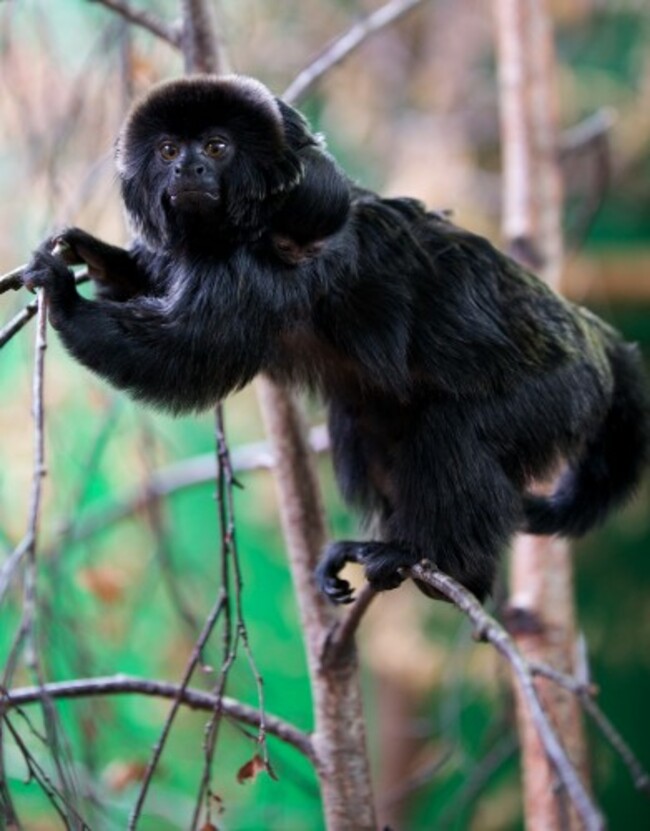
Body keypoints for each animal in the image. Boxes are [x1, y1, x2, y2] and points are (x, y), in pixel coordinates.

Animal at [21, 75, 648, 604]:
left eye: (217, 148)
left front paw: (66, 298)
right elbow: (155, 286)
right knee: (366, 420)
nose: (189, 171)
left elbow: (194, 353)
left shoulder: (277, 258)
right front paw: (92, 254)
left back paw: (443, 565)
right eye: (170, 151)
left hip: (555, 395)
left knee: (455, 430)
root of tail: (597, 342)